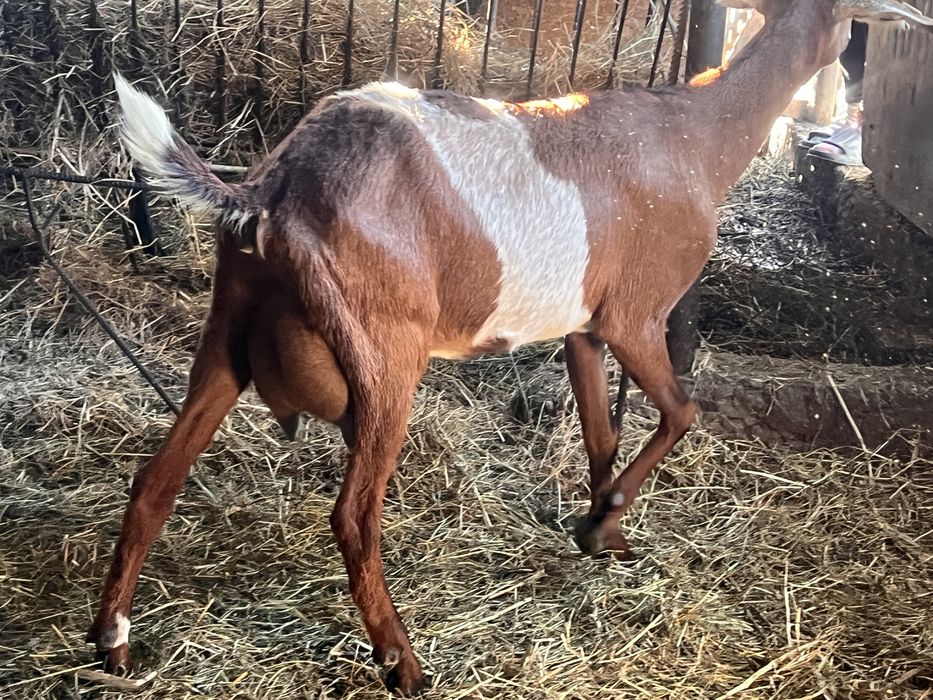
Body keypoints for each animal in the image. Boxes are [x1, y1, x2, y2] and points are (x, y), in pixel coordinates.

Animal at [88, 0, 932, 694]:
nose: (855, 77)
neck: (695, 134)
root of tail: (270, 190)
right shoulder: (635, 317)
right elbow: (681, 413)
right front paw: (604, 519)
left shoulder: (584, 328)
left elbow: (600, 433)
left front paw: (604, 533)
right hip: (384, 356)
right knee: (353, 516)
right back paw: (402, 662)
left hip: (226, 333)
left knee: (155, 480)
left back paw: (113, 643)